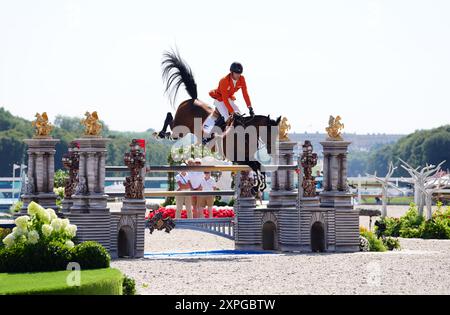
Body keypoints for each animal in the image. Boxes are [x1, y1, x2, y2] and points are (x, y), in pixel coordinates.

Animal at [156, 50, 282, 191]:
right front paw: (257, 186)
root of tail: (193, 99)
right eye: (269, 132)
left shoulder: (247, 157)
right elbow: (255, 166)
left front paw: (259, 185)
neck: (246, 134)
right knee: (169, 119)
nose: (271, 151)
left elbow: (260, 167)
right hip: (180, 129)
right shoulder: (237, 157)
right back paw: (160, 134)